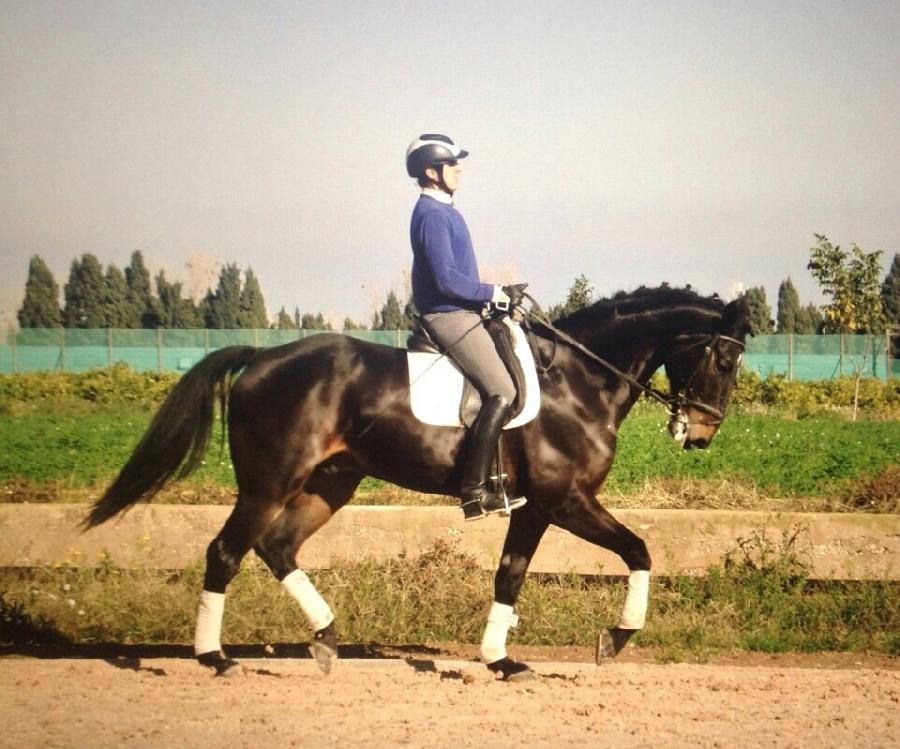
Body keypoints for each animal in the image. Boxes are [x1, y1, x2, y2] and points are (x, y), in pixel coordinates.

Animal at [84, 284, 748, 676]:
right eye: (724, 357)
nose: (702, 433)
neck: (577, 380)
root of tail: (261, 359)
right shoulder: (566, 500)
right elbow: (639, 550)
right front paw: (616, 637)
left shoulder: (536, 507)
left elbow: (510, 575)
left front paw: (500, 659)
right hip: (268, 485)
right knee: (226, 551)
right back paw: (216, 657)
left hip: (329, 485)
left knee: (276, 546)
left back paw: (325, 637)